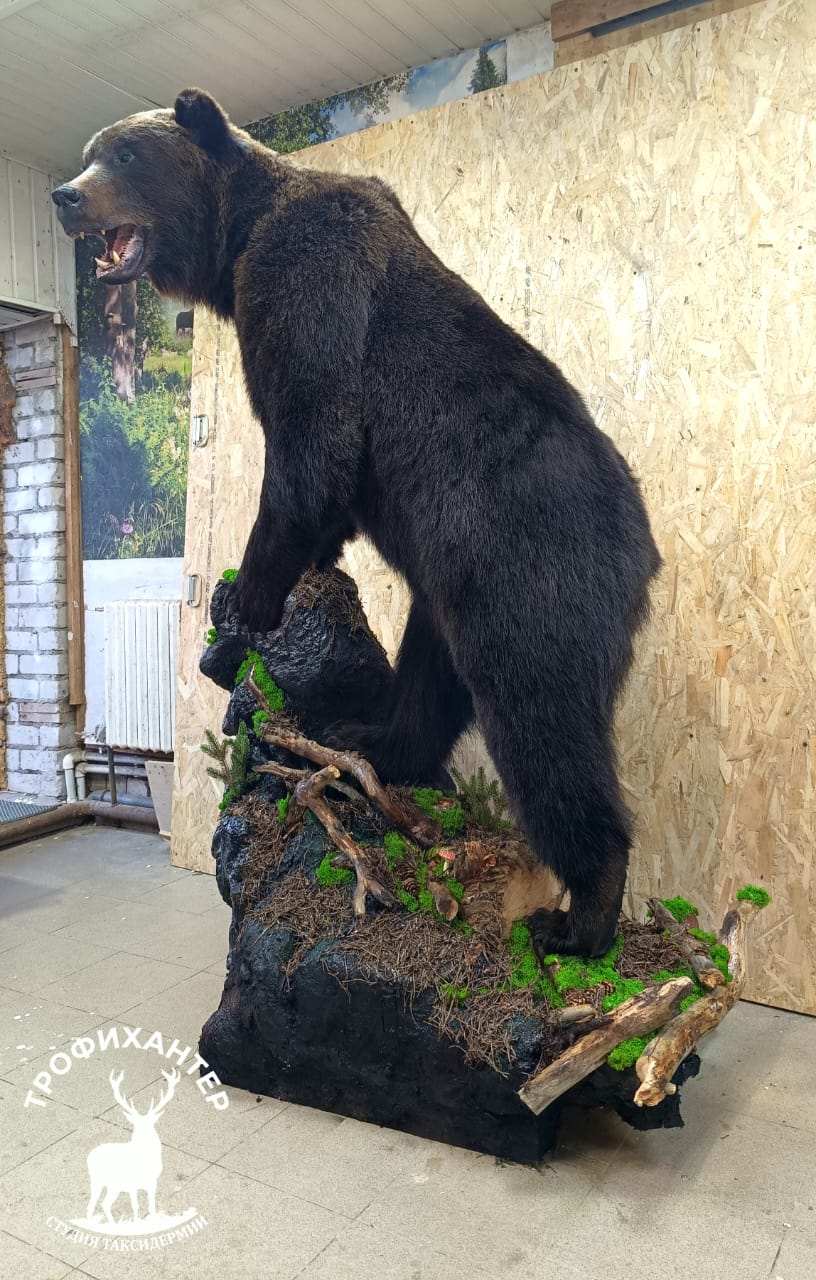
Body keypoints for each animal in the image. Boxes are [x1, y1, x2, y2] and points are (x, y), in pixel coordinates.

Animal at [53, 89, 661, 959]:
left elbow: (312, 441)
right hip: (450, 589)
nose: (66, 195)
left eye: (127, 155)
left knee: (542, 719)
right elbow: (327, 488)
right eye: (91, 152)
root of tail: (645, 548)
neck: (236, 242)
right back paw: (372, 741)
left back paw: (578, 918)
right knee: (432, 678)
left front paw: (248, 602)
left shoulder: (309, 274)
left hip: (528, 565)